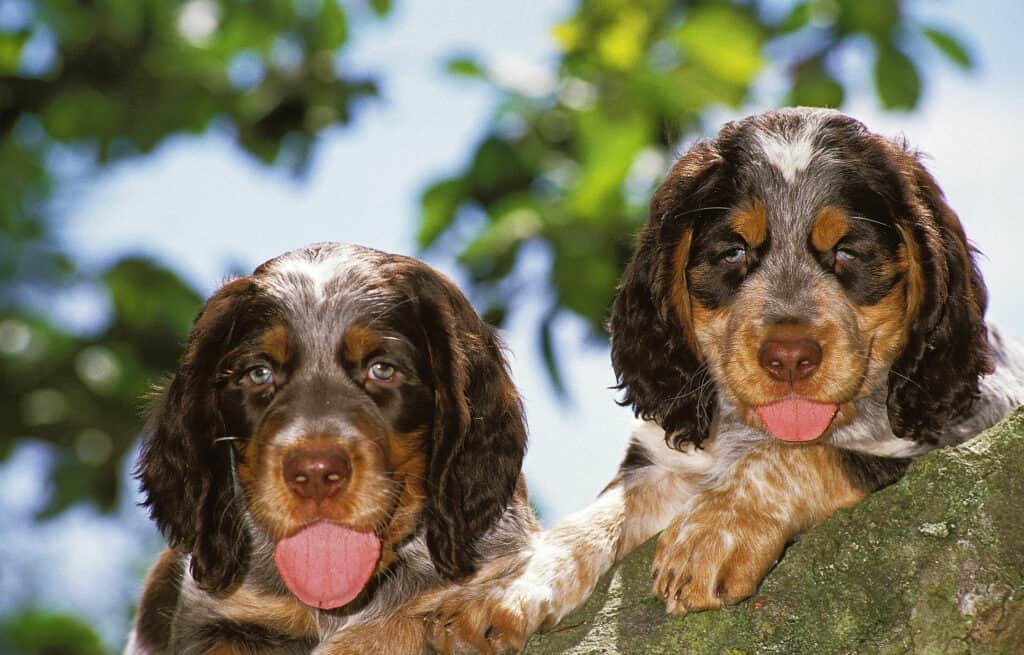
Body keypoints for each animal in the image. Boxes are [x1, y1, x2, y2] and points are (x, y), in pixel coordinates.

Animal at [423, 106, 1024, 650]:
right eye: (733, 252)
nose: (789, 358)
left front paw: (712, 535)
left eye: (848, 252)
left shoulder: (953, 438)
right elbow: (594, 516)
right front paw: (503, 592)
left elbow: (798, 457)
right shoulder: (665, 459)